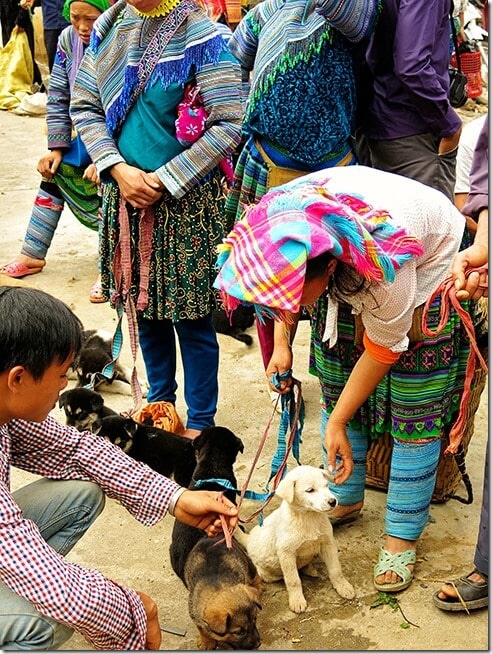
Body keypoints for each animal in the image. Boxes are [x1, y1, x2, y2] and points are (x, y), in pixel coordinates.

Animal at [241, 466, 354, 616]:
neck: (308, 517)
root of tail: (248, 539)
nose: (333, 501)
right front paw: (297, 600)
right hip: (267, 573)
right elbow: (293, 580)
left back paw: (310, 568)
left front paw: (343, 587)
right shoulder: (286, 553)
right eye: (310, 490)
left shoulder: (328, 543)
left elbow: (336, 569)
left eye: (327, 486)